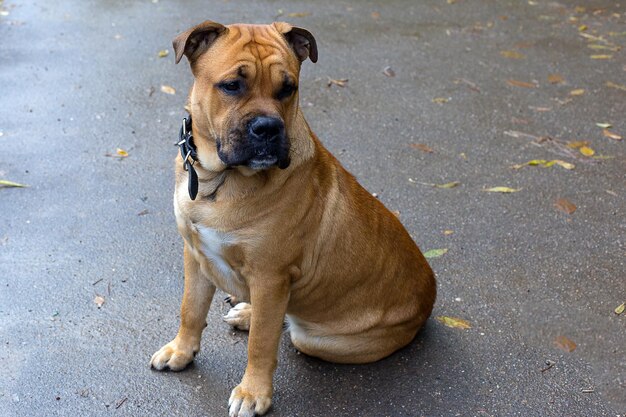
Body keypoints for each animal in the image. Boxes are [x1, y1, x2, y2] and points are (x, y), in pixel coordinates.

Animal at [151, 20, 434, 416]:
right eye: (232, 85)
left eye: (288, 88)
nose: (268, 128)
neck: (217, 179)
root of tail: (428, 299)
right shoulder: (195, 255)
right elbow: (190, 309)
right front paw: (181, 351)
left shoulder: (270, 276)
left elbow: (261, 344)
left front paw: (253, 393)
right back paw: (246, 312)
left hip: (316, 338)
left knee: (286, 327)